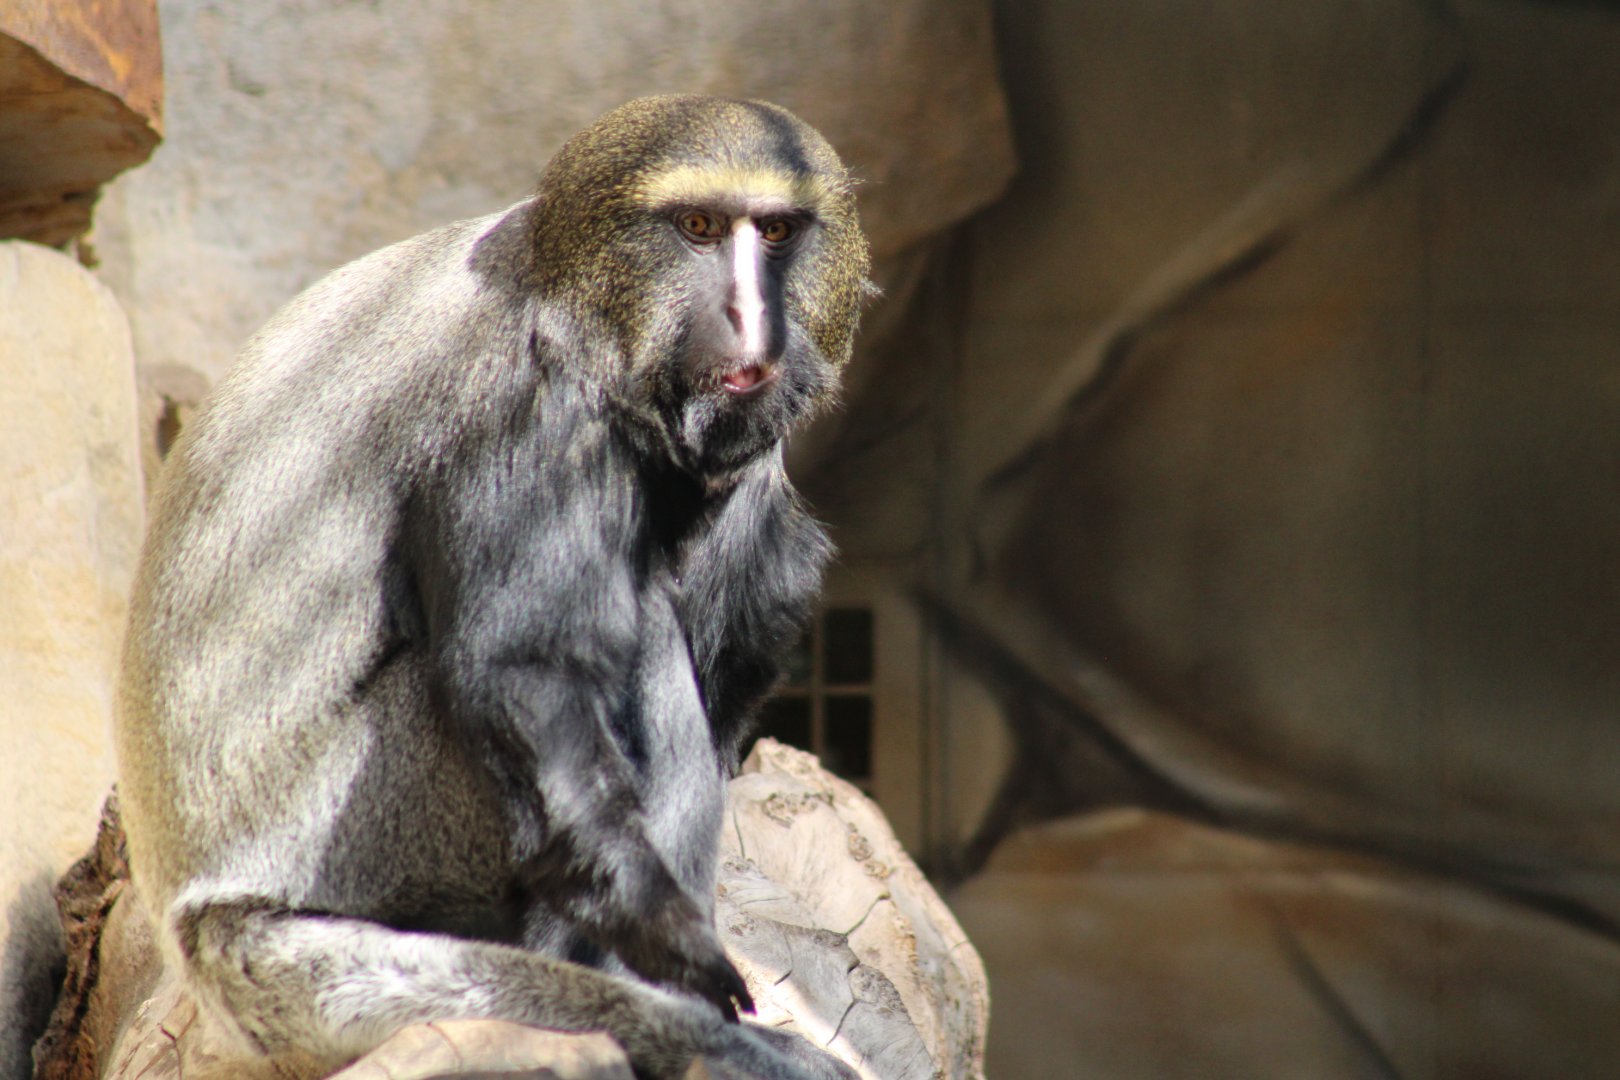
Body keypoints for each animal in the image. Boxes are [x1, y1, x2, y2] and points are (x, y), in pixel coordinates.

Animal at [112, 95, 870, 1080]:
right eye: (699, 229)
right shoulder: (531, 404)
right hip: (378, 829)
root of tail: (210, 937)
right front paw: (653, 925)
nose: (748, 314)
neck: (569, 281)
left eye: (775, 233)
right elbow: (523, 668)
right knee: (635, 637)